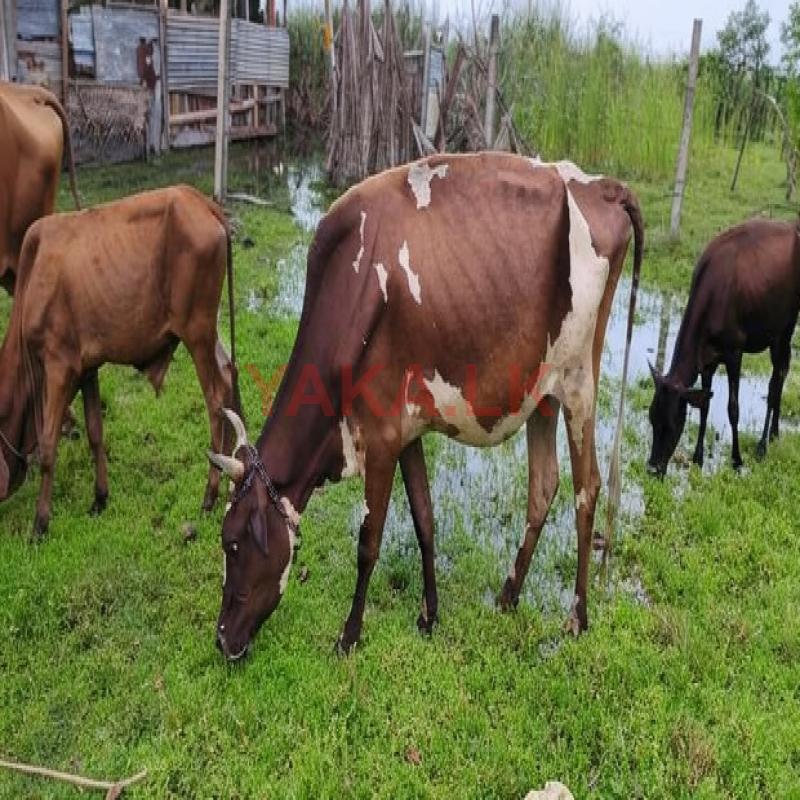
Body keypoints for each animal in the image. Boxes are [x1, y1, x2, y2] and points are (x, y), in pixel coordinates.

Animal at [0, 185, 240, 535]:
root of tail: (201, 201)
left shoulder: (59, 366)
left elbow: (47, 447)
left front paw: (40, 523)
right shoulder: (87, 368)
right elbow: (95, 433)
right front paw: (99, 498)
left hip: (196, 331)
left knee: (216, 398)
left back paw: (209, 495)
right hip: (208, 332)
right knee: (229, 373)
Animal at [206, 152, 643, 661]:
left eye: (233, 544)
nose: (222, 638)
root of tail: (603, 186)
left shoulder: (379, 439)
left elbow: (368, 542)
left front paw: (349, 635)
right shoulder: (405, 430)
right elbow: (424, 520)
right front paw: (429, 615)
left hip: (579, 384)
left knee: (586, 488)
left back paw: (577, 617)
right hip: (543, 392)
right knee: (543, 485)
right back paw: (509, 595)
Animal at [647, 219, 800, 477]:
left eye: (671, 425)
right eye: (651, 419)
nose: (652, 468)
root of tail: (792, 226)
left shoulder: (734, 353)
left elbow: (733, 408)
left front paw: (737, 460)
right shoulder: (707, 360)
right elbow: (704, 405)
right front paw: (697, 457)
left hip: (788, 324)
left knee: (776, 379)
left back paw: (762, 445)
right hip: (774, 332)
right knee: (782, 371)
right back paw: (774, 434)